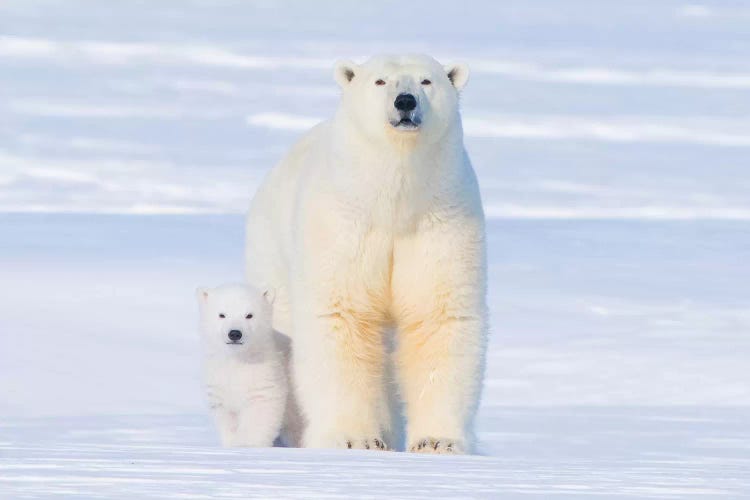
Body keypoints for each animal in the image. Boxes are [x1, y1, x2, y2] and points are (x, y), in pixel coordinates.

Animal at [250, 54, 490, 454]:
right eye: (379, 81)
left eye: (427, 81)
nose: (405, 101)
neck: (394, 200)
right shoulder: (343, 223)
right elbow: (341, 315)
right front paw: (353, 439)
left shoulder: (440, 222)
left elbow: (438, 317)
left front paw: (437, 442)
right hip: (272, 251)